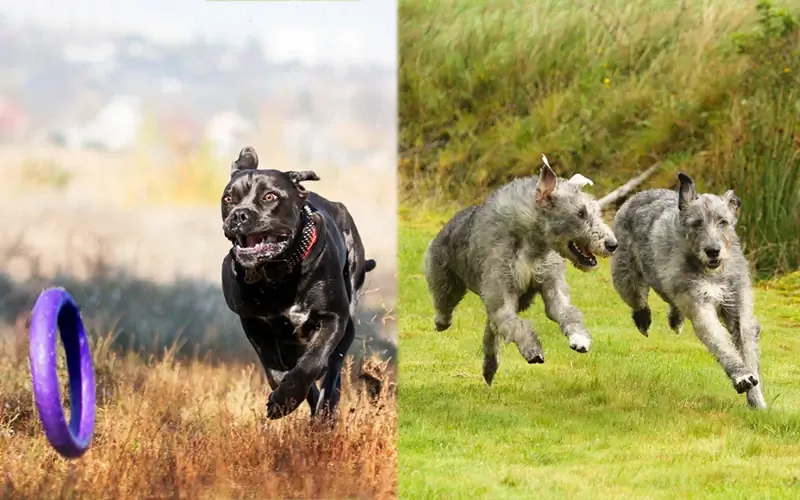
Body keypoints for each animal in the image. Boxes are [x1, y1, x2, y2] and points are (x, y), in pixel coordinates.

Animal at [217, 147, 376, 418]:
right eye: (228, 199)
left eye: (269, 196)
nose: (239, 214)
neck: (278, 273)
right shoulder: (255, 323)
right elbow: (274, 368)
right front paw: (284, 399)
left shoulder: (333, 317)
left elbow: (313, 361)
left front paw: (289, 397)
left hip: (348, 324)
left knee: (333, 371)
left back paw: (326, 411)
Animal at [424, 162, 620, 384]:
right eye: (580, 214)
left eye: (596, 211)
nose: (612, 244)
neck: (532, 244)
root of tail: (448, 225)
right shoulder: (502, 294)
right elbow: (515, 325)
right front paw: (533, 350)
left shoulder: (551, 285)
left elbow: (567, 312)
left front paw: (580, 339)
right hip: (445, 279)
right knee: (447, 307)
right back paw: (442, 323)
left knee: (491, 329)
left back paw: (490, 367)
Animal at [612, 174, 768, 408]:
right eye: (697, 223)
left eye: (723, 221)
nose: (713, 251)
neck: (714, 271)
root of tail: (639, 194)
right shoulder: (700, 305)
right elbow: (718, 339)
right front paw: (741, 376)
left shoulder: (737, 305)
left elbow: (746, 342)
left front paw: (757, 402)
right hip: (626, 278)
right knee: (638, 301)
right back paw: (643, 320)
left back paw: (676, 319)